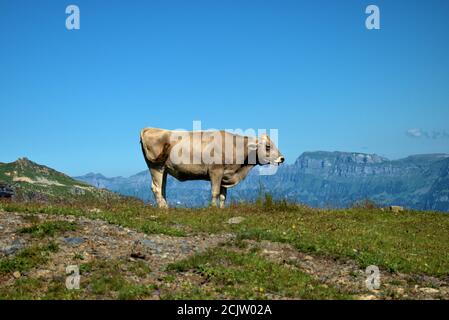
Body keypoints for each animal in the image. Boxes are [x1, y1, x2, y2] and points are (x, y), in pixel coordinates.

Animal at [139, 127, 284, 208]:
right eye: (268, 146)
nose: (282, 158)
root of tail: (150, 128)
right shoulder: (216, 171)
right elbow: (215, 192)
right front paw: (213, 208)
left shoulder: (225, 175)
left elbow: (223, 195)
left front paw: (221, 209)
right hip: (156, 166)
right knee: (156, 188)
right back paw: (163, 208)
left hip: (163, 168)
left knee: (162, 188)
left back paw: (165, 206)